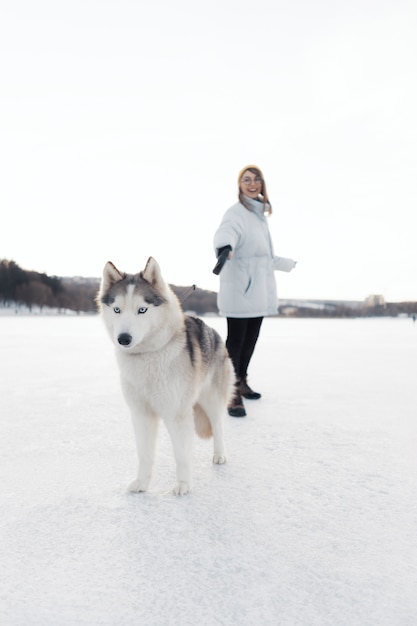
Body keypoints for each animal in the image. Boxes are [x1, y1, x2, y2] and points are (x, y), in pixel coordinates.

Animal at [97, 256, 234, 494]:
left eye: (142, 310)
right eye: (117, 310)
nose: (123, 338)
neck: (148, 354)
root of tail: (212, 330)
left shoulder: (176, 413)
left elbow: (181, 455)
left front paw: (183, 484)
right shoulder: (141, 414)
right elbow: (145, 454)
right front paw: (142, 483)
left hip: (212, 400)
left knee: (218, 427)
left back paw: (219, 455)